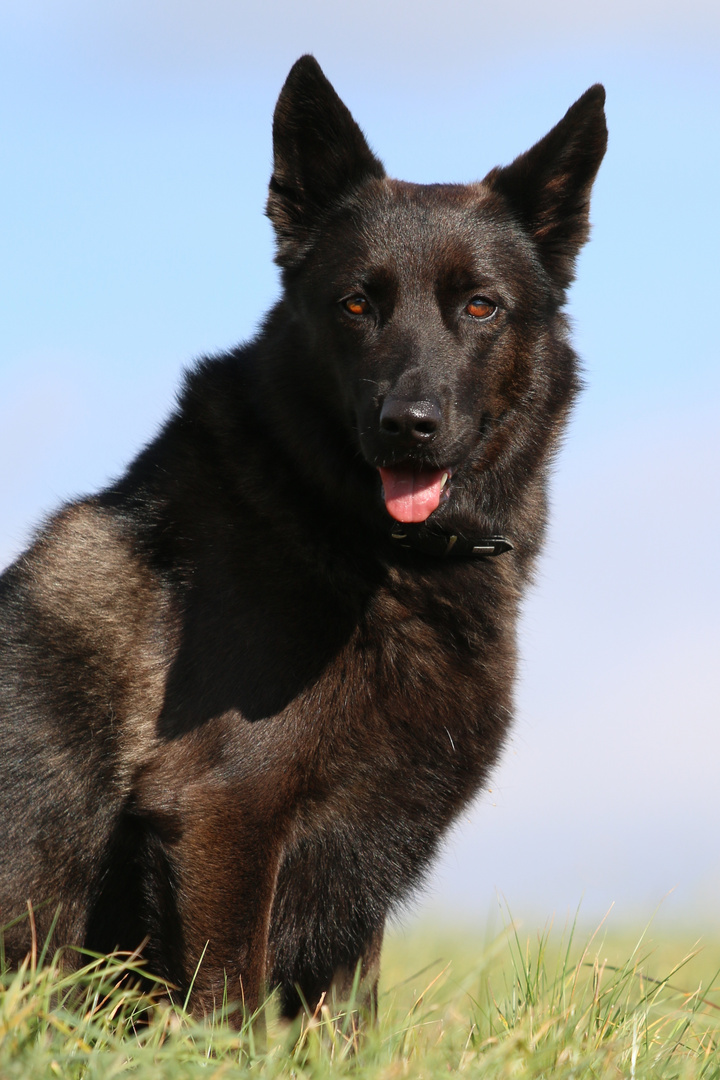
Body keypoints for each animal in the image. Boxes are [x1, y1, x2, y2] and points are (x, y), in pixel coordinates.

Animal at [0, 56, 608, 1019]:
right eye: (357, 303)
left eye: (480, 306)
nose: (409, 427)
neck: (365, 546)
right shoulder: (223, 814)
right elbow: (231, 1014)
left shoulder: (358, 872)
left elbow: (344, 1023)